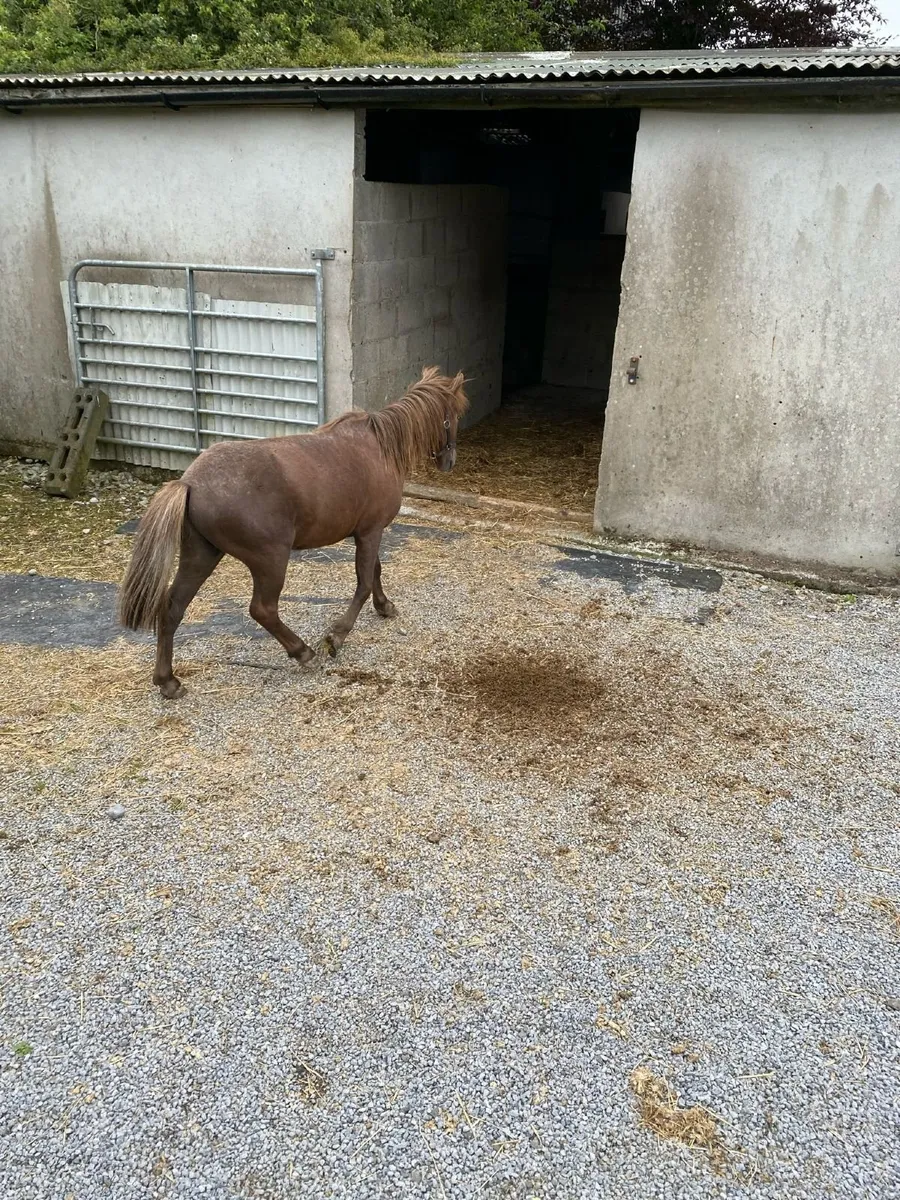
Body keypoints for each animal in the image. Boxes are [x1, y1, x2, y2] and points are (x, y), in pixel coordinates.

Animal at [118, 367, 468, 699]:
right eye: (454, 414)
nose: (450, 460)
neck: (380, 447)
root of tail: (190, 482)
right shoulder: (370, 532)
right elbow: (364, 581)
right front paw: (337, 636)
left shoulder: (367, 532)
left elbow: (375, 572)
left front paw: (384, 607)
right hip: (270, 560)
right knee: (263, 609)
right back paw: (303, 652)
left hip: (201, 555)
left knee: (173, 608)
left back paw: (168, 681)